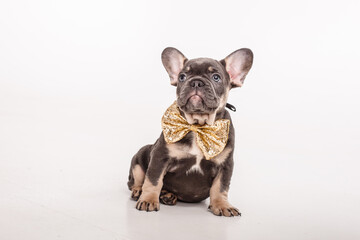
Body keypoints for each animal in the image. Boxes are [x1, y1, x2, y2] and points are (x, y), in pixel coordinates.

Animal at [126, 46, 253, 216]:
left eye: (216, 77)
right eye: (182, 77)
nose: (196, 82)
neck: (198, 126)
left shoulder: (225, 165)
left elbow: (220, 187)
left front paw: (222, 205)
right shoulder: (160, 157)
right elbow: (153, 180)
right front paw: (148, 199)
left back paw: (167, 195)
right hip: (139, 158)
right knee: (136, 181)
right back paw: (141, 192)